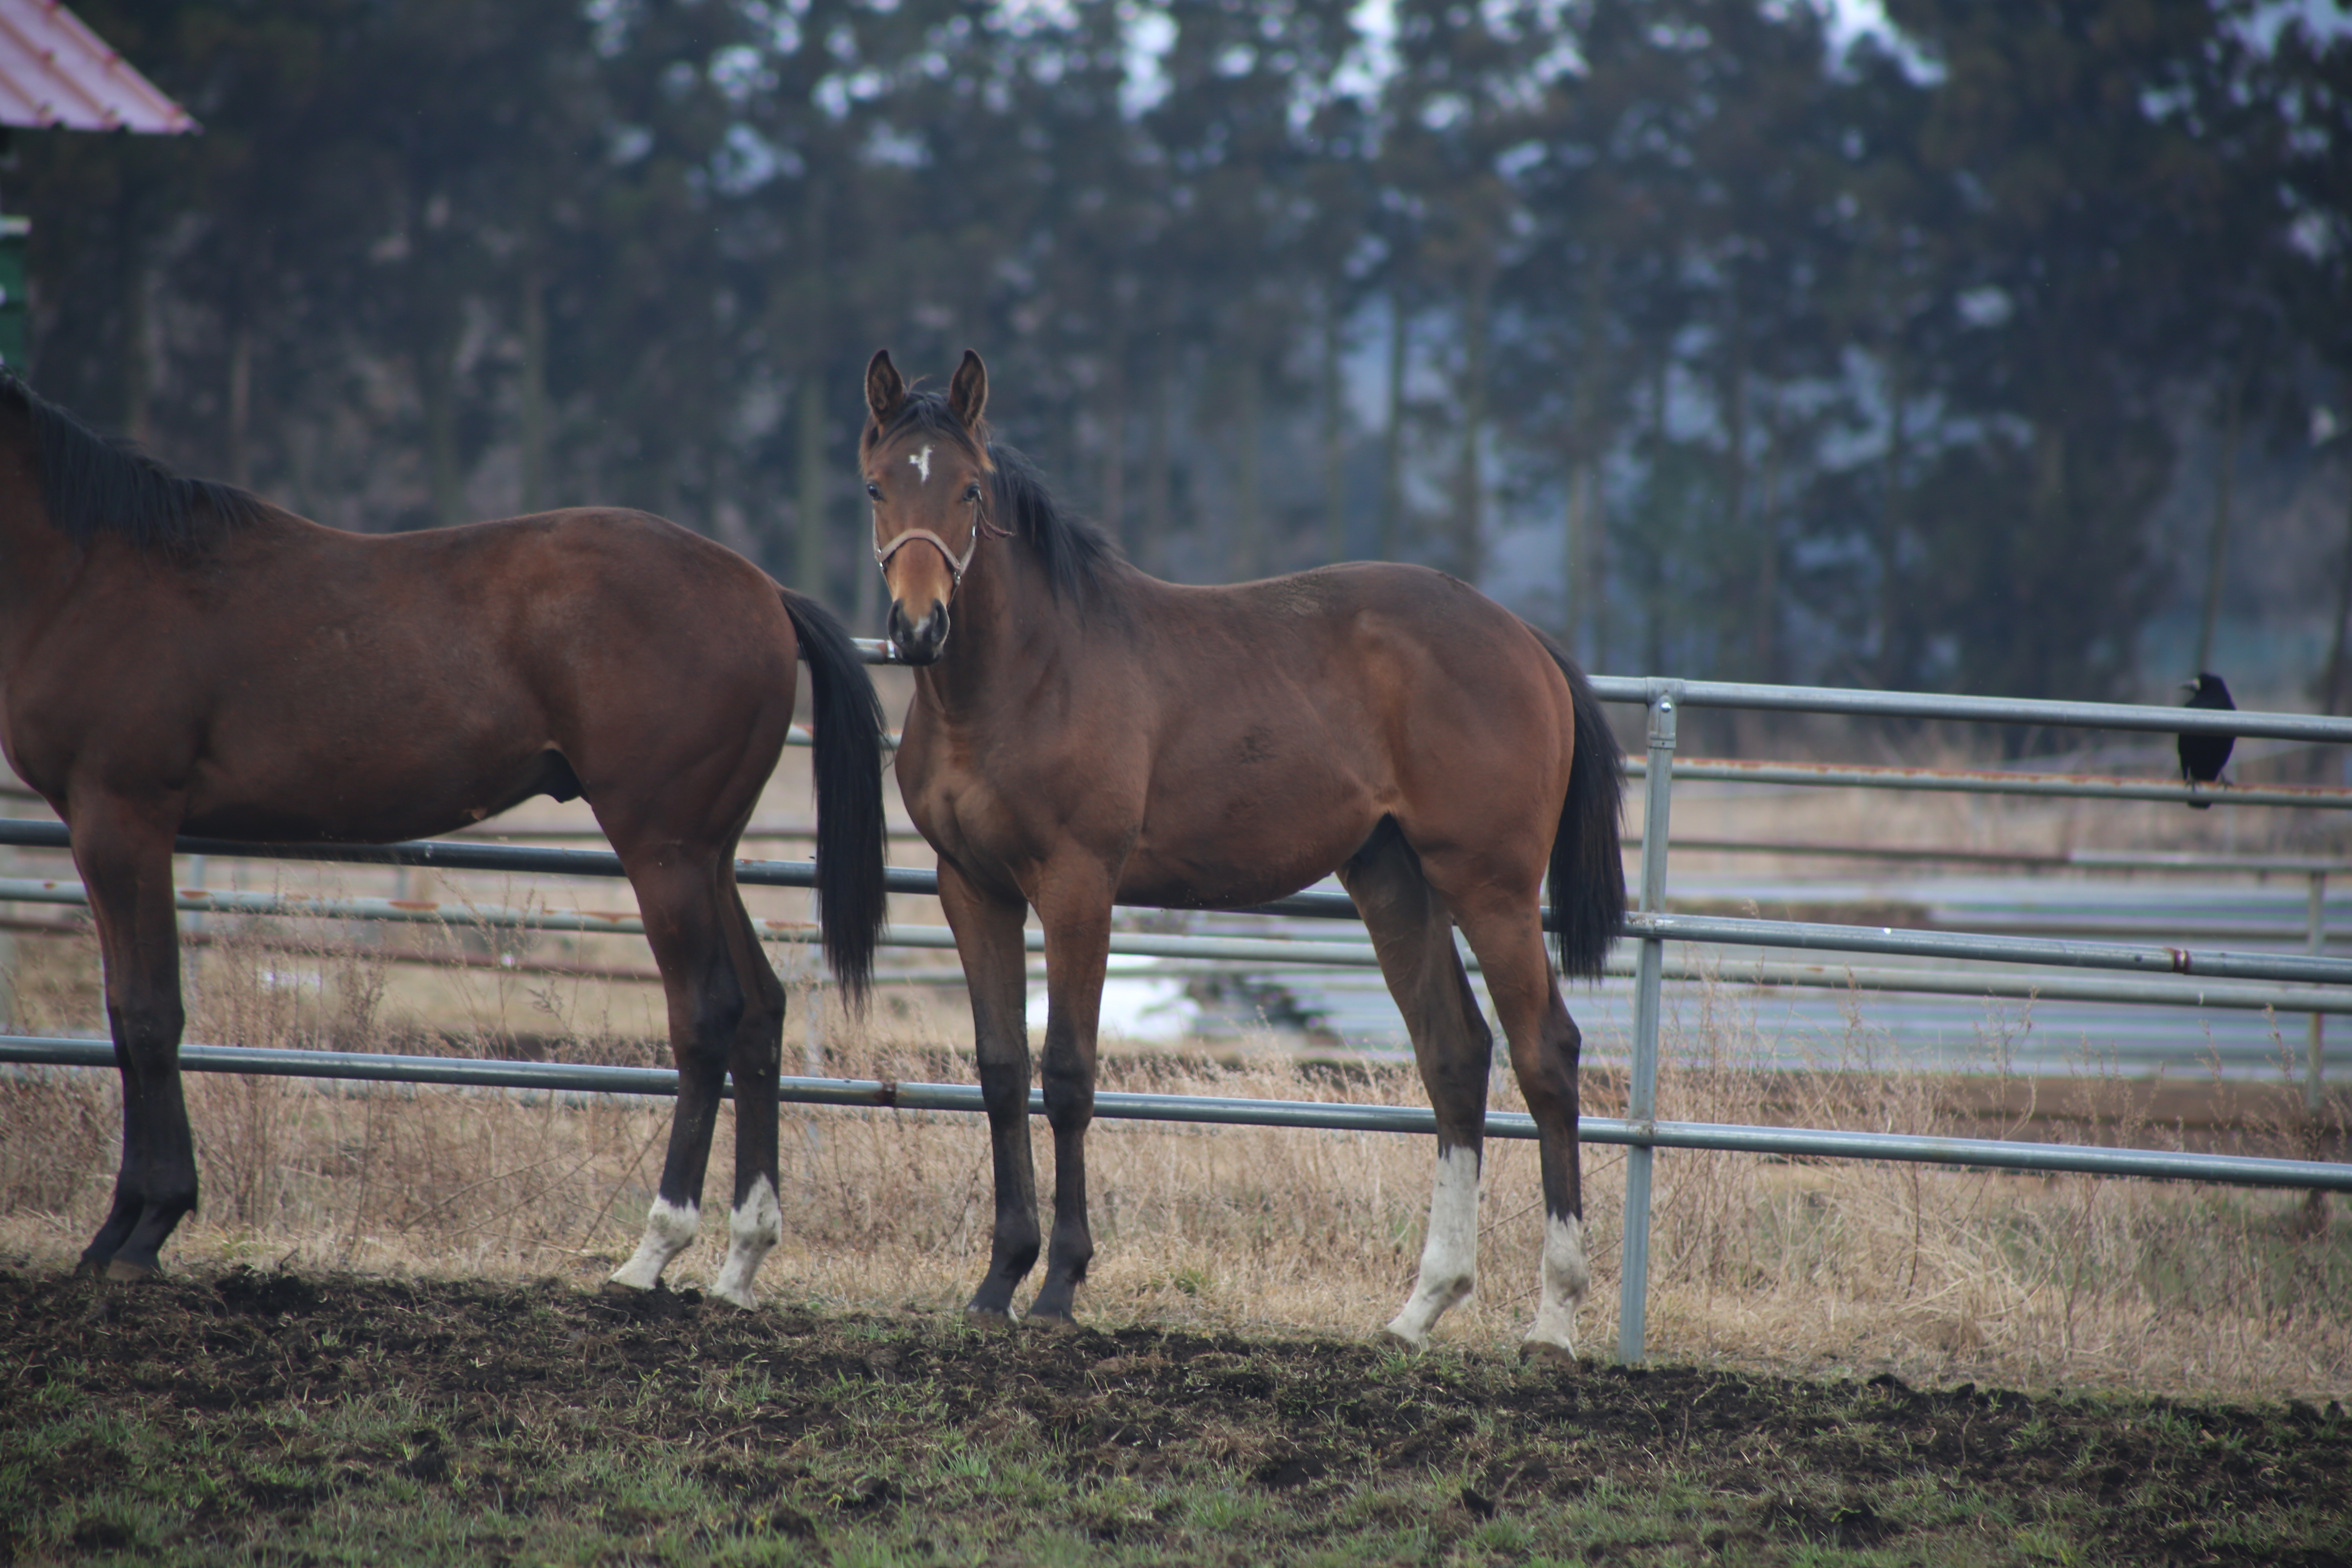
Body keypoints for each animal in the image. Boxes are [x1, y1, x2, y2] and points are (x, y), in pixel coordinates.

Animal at [0, 374, 889, 1307]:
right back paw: (742, 1257)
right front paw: (121, 1231)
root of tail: (764, 592)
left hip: (665, 854)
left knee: (707, 1015)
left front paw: (141, 1229)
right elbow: (127, 1013)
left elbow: (147, 1015)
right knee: (760, 1012)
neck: (93, 571)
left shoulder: (120, 818)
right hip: (710, 858)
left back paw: (652, 1250)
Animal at [875, 350, 1627, 1354]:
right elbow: (1000, 1074)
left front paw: (1061, 1284)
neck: (1028, 673)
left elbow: (1067, 1072)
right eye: (877, 485)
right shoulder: (972, 888)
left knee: (1547, 1056)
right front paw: (998, 1280)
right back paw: (1421, 1308)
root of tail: (1527, 642)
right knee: (1455, 1056)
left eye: (968, 488)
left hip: (1492, 889)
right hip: (1395, 882)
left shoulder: (1078, 885)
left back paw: (1552, 1320)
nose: (918, 626)